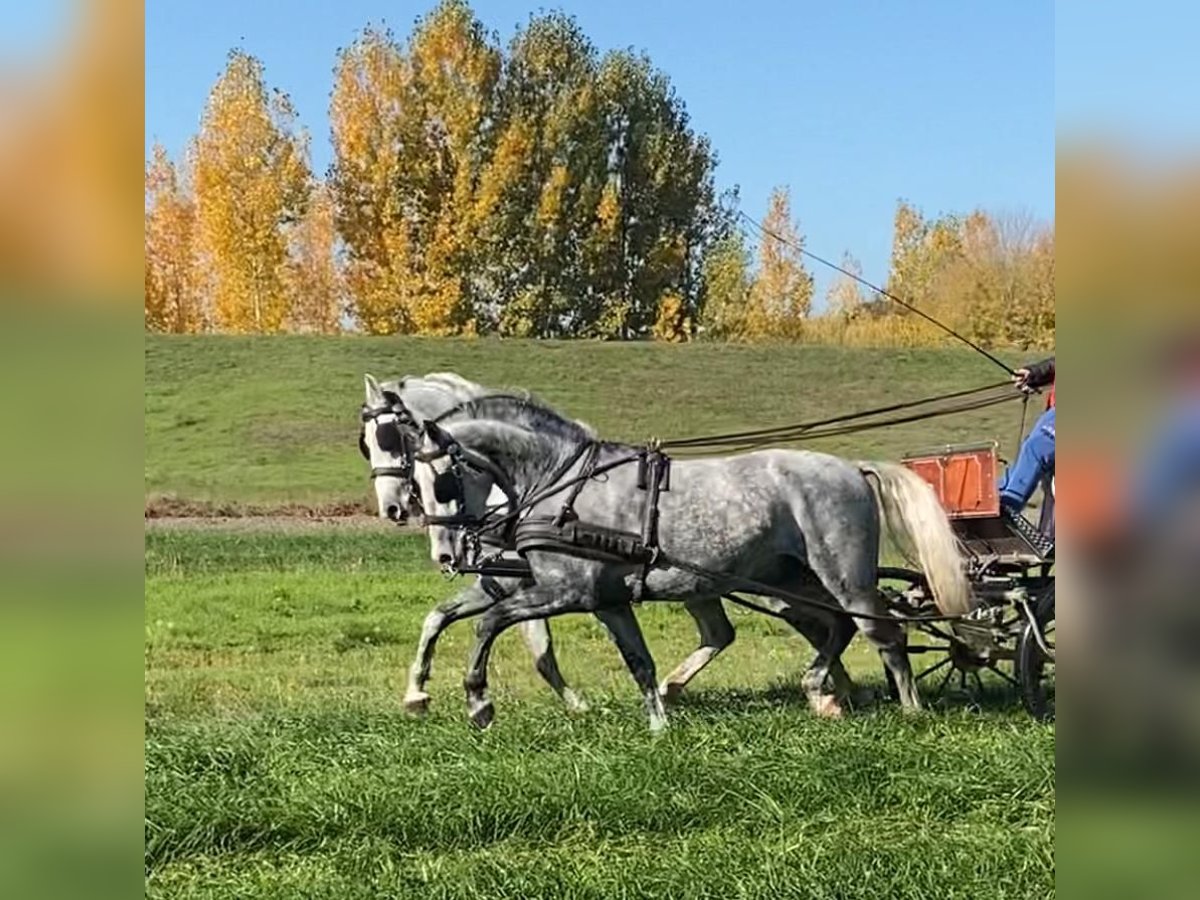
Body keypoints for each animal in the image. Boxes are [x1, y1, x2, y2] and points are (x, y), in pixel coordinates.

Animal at [360, 374, 868, 720]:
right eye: (367, 445)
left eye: (387, 438)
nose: (394, 509)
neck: (549, 481)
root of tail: (855, 469)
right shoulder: (540, 587)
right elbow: (441, 619)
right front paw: (417, 694)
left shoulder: (546, 589)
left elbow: (520, 641)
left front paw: (507, 702)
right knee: (769, 629)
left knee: (840, 622)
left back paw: (845, 690)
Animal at [415, 396, 974, 734]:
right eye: (414, 482)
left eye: (441, 481)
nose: (448, 553)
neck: (561, 483)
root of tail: (851, 469)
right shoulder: (607, 600)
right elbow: (639, 661)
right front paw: (659, 722)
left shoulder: (565, 591)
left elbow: (488, 624)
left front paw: (478, 702)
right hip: (791, 580)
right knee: (835, 628)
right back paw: (824, 693)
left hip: (844, 574)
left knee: (882, 632)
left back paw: (909, 708)